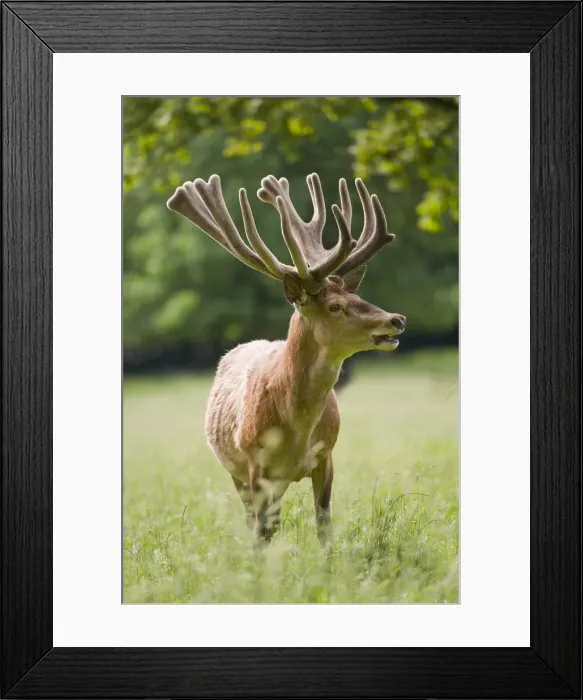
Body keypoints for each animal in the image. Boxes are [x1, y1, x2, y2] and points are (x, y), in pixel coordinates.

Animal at [167, 173, 406, 545]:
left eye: (358, 296)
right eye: (335, 306)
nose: (396, 320)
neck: (296, 430)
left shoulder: (326, 457)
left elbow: (324, 526)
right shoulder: (255, 466)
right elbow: (261, 534)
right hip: (237, 472)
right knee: (254, 521)